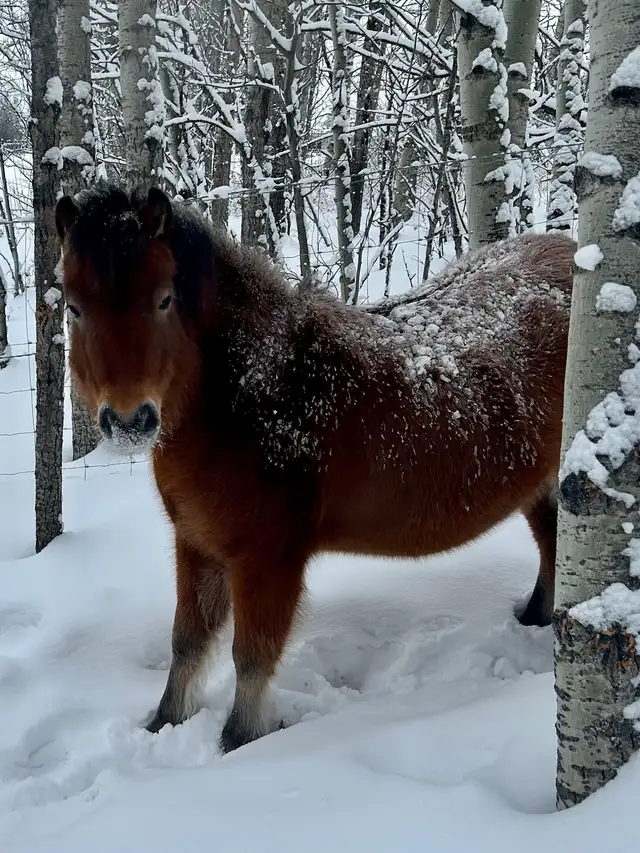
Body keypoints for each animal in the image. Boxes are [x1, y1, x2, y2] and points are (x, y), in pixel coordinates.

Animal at [55, 184, 575, 753]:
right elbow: (186, 644)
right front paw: (163, 726)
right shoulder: (196, 543)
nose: (130, 420)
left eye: (164, 299)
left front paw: (239, 744)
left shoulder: (268, 559)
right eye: (74, 307)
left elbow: (251, 659)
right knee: (552, 545)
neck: (258, 396)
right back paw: (534, 620)